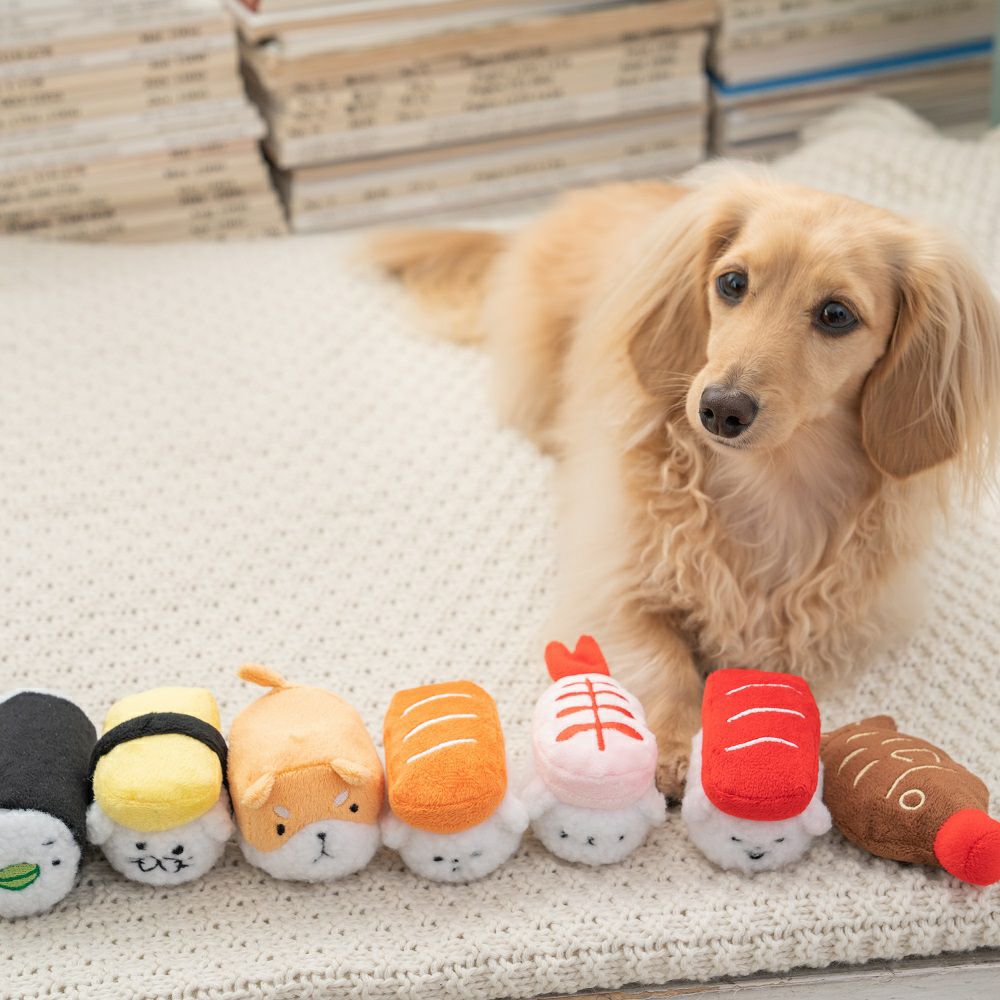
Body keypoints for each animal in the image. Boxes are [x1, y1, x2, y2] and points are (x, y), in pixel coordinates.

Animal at [370, 174, 1000, 798]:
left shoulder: (826, 628)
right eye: (732, 282)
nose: (721, 409)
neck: (771, 486)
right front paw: (673, 746)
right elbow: (662, 659)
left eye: (836, 314)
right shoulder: (612, 586)